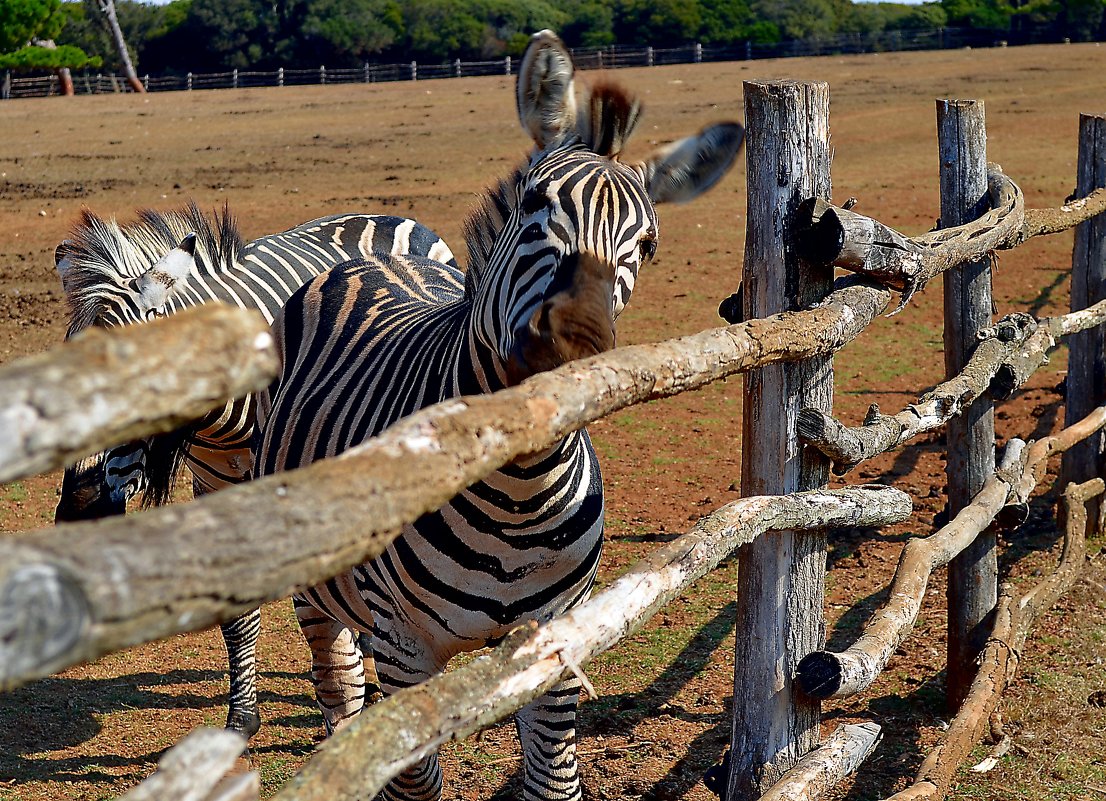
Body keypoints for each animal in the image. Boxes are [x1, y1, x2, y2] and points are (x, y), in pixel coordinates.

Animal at [254, 31, 743, 801]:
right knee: (340, 692)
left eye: (648, 245)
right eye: (534, 203)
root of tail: (371, 252)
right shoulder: (405, 648)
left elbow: (554, 780)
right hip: (317, 584)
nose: (574, 345)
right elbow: (414, 776)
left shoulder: (555, 637)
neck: (520, 489)